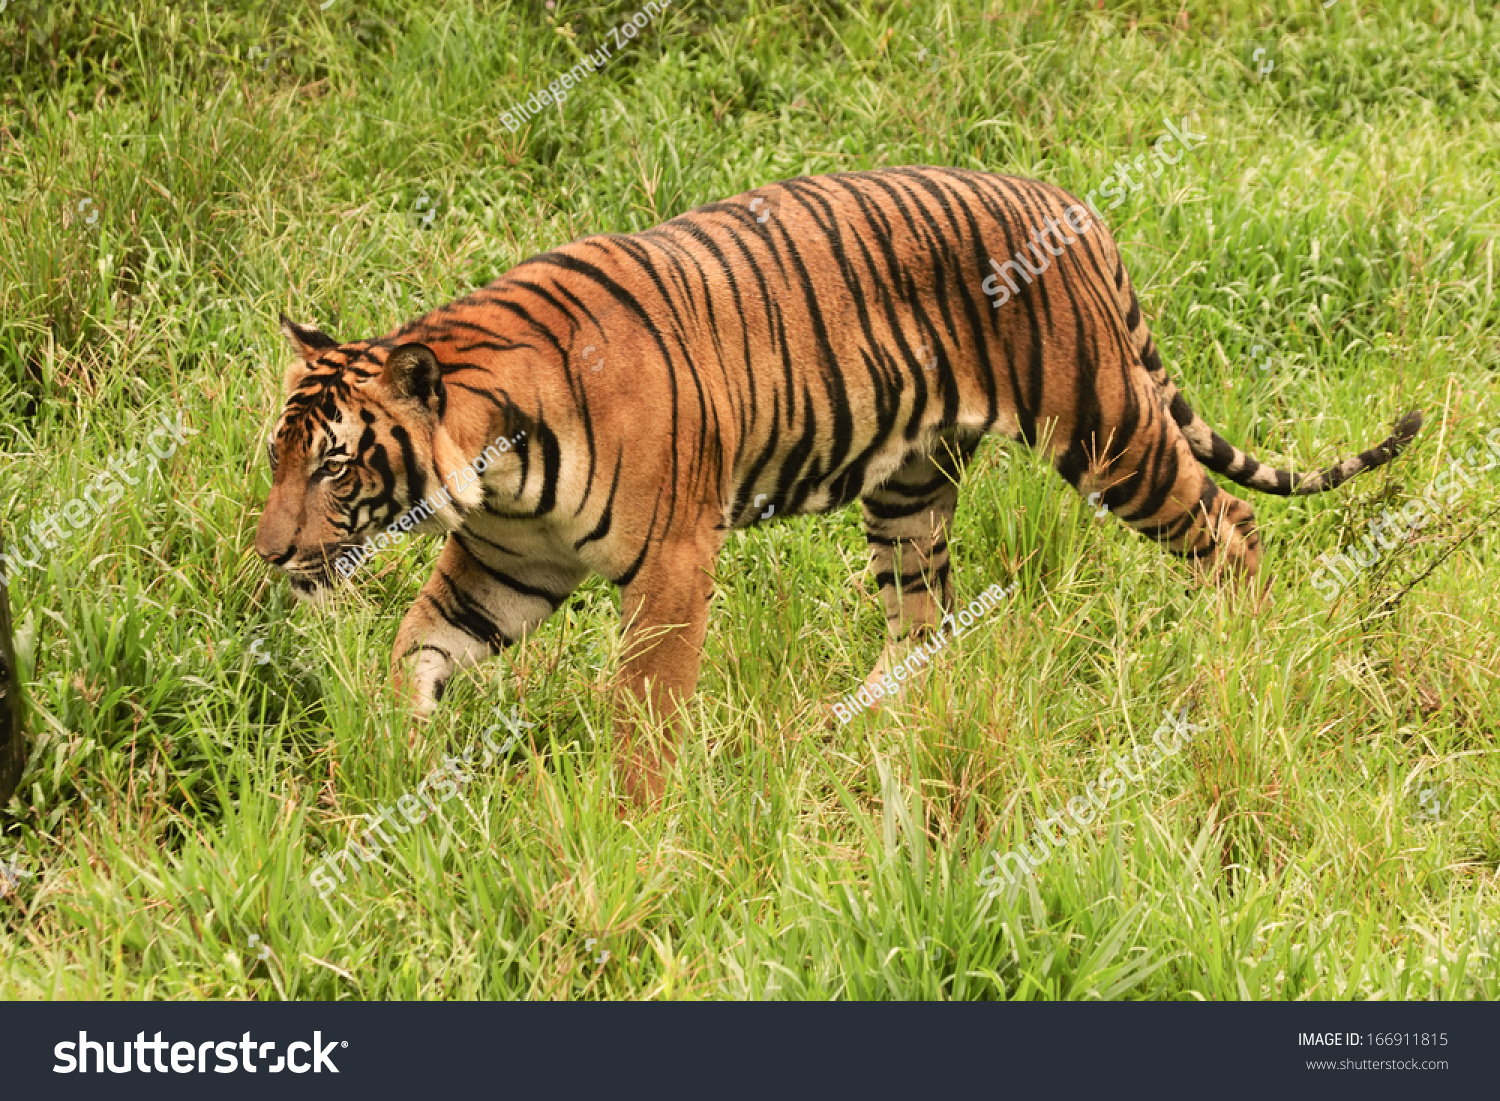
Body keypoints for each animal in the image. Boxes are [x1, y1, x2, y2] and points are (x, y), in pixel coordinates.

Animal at [255, 165, 1416, 804]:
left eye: (335, 463)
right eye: (277, 457)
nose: (268, 554)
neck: (496, 468)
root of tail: (1069, 201)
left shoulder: (673, 560)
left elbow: (644, 704)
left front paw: (631, 819)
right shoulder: (504, 566)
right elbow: (418, 644)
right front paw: (398, 755)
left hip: (1103, 428)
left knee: (1230, 524)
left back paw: (1244, 659)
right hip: (909, 488)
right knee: (924, 623)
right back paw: (853, 723)